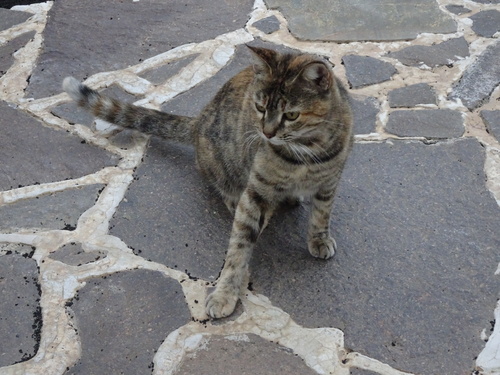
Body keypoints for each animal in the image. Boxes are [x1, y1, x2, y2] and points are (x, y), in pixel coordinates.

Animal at [62, 45, 354, 318]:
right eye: (260, 108)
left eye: (291, 115)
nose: (267, 133)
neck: (304, 155)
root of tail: (199, 121)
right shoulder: (256, 192)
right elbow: (238, 250)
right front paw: (225, 293)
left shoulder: (329, 182)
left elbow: (322, 215)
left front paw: (319, 239)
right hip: (225, 168)